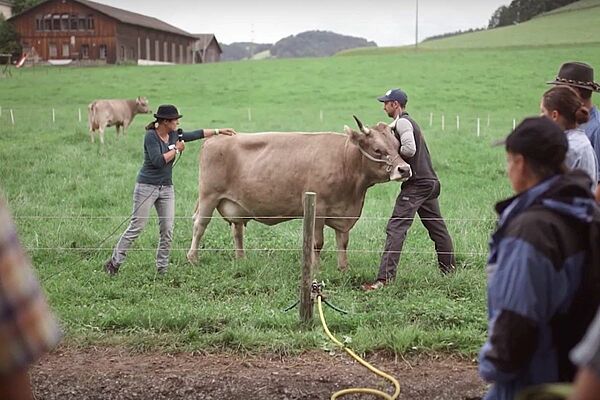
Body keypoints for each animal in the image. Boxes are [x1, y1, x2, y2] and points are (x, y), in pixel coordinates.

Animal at [188, 116, 412, 272]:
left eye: (397, 145)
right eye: (377, 149)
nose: (404, 169)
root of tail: (214, 139)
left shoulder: (344, 213)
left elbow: (343, 241)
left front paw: (343, 268)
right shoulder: (318, 209)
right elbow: (317, 243)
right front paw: (315, 268)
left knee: (237, 231)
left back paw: (241, 259)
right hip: (208, 196)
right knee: (200, 225)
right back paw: (193, 258)